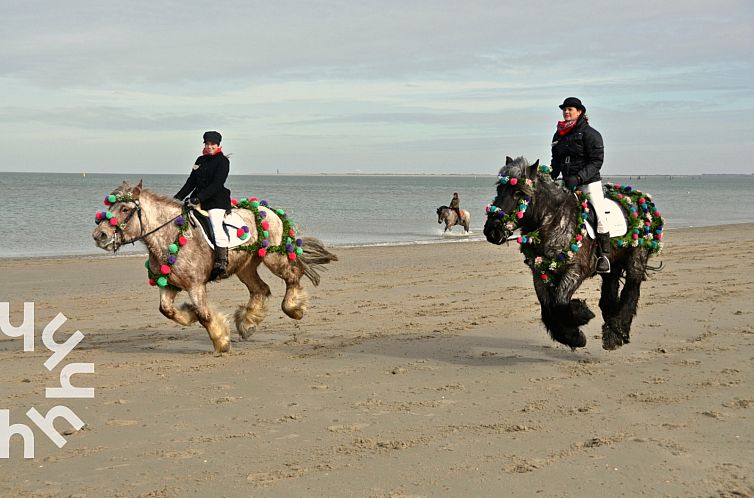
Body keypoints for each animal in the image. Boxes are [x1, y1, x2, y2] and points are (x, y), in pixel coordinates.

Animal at [94, 181, 338, 352]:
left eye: (125, 209)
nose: (99, 235)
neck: (173, 236)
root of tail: (270, 211)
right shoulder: (169, 284)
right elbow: (167, 310)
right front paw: (189, 314)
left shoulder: (196, 285)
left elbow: (204, 315)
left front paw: (221, 341)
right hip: (245, 267)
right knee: (260, 289)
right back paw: (248, 324)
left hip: (273, 258)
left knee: (292, 276)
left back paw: (294, 309)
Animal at [484, 157, 660, 350]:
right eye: (499, 190)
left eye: (518, 193)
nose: (491, 231)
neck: (555, 221)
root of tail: (641, 199)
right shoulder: (539, 271)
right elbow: (547, 306)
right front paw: (572, 333)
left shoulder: (576, 270)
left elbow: (559, 301)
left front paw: (581, 317)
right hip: (612, 262)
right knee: (610, 288)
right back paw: (612, 328)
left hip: (637, 255)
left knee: (632, 289)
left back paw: (617, 332)